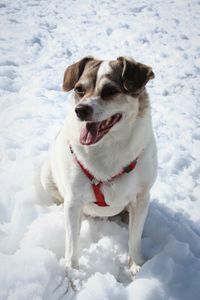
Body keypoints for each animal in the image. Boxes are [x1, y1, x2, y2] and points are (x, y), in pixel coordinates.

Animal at [40, 56, 158, 276]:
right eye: (79, 89)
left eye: (110, 90)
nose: (80, 110)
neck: (108, 146)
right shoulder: (73, 201)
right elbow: (72, 244)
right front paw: (72, 272)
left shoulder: (141, 197)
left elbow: (135, 239)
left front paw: (136, 265)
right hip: (47, 176)